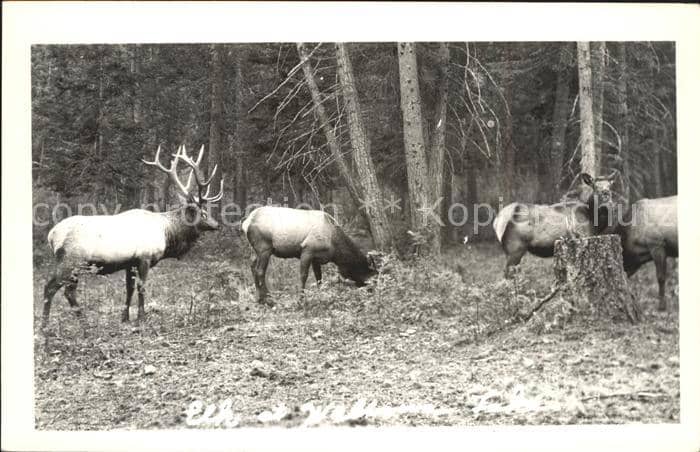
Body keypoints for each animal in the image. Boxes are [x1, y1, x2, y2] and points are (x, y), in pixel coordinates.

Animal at [41, 145, 223, 328]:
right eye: (204, 213)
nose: (217, 225)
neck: (166, 233)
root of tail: (51, 235)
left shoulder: (130, 263)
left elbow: (129, 289)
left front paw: (125, 317)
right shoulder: (145, 258)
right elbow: (141, 287)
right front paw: (142, 318)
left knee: (56, 288)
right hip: (73, 260)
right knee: (58, 289)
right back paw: (71, 323)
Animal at [241, 206, 381, 305]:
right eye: (373, 278)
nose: (372, 291)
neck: (334, 247)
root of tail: (246, 223)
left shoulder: (316, 258)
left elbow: (319, 278)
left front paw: (321, 296)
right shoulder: (307, 250)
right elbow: (304, 276)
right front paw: (301, 300)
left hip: (256, 250)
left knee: (252, 266)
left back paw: (258, 298)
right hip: (265, 248)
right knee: (260, 271)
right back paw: (268, 299)